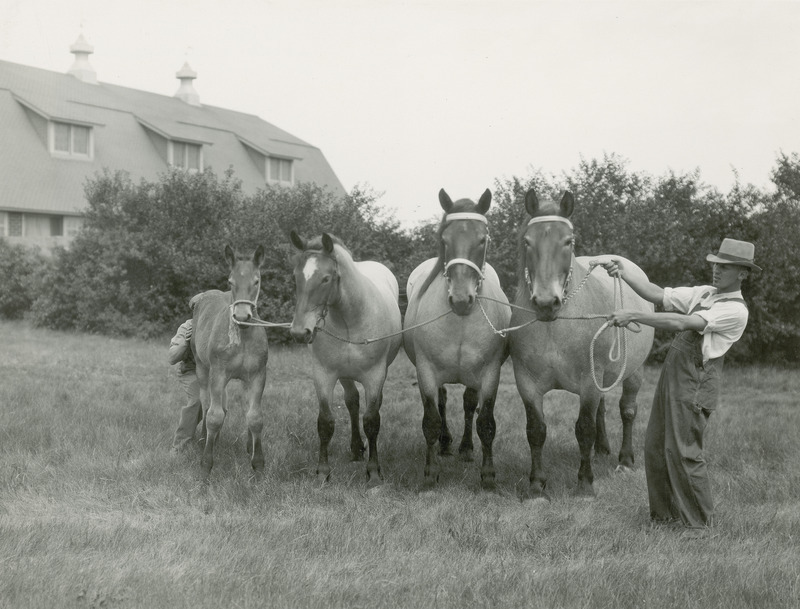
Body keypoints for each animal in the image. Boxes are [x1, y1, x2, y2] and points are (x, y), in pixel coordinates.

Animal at [288, 230, 404, 486]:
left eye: (325, 279)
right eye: (296, 277)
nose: (300, 332)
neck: (350, 319)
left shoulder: (374, 376)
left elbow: (371, 421)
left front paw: (374, 472)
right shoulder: (324, 374)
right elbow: (325, 422)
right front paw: (323, 472)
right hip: (345, 376)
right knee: (352, 402)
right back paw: (356, 448)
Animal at [404, 188, 510, 492]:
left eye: (482, 239)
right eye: (444, 239)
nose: (462, 300)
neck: (461, 321)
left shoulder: (490, 374)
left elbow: (485, 422)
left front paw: (488, 476)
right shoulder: (426, 371)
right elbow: (431, 420)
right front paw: (430, 474)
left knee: (468, 405)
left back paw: (465, 448)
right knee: (442, 402)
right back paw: (446, 444)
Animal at [510, 190, 652, 498]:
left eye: (568, 241)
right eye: (528, 241)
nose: (546, 303)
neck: (555, 326)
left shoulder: (589, 381)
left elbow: (584, 428)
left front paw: (585, 483)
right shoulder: (526, 383)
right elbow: (535, 430)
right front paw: (537, 485)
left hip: (633, 372)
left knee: (627, 411)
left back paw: (625, 460)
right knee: (602, 410)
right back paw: (602, 450)